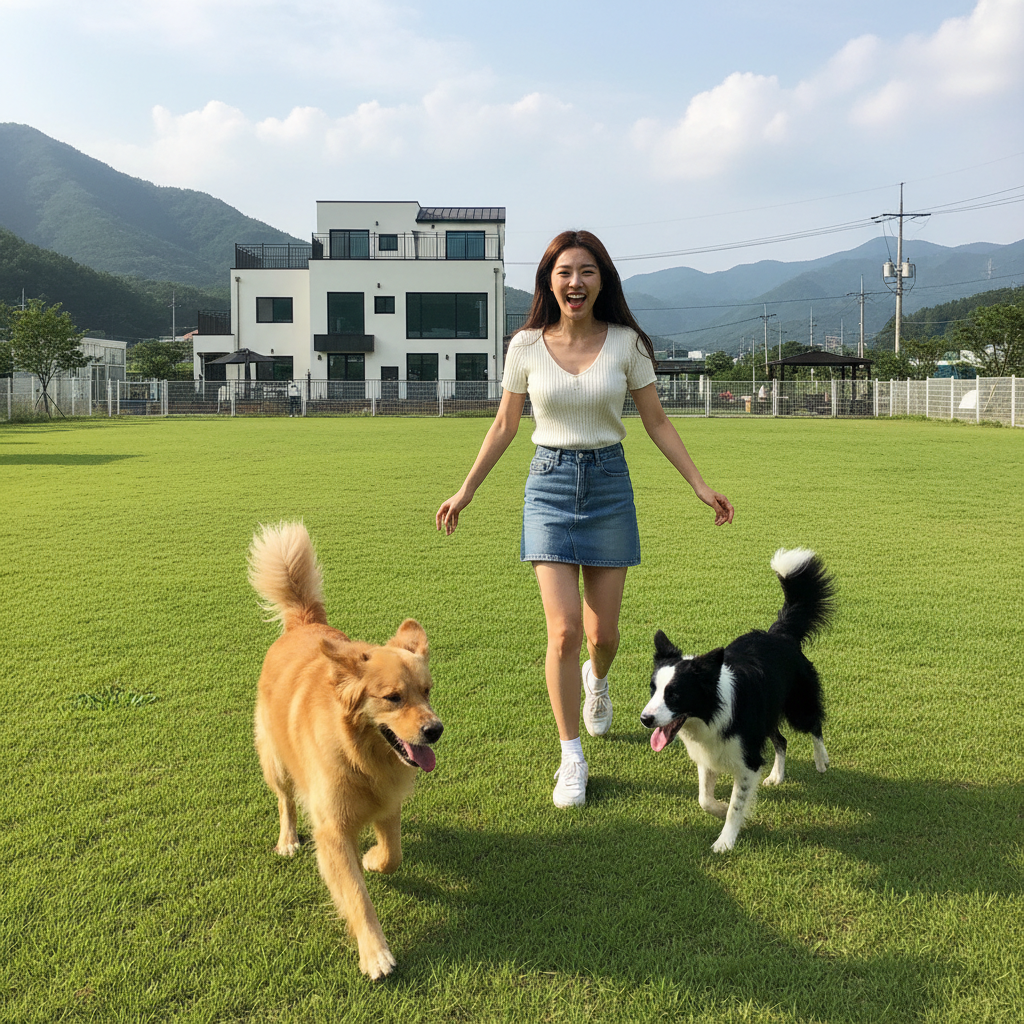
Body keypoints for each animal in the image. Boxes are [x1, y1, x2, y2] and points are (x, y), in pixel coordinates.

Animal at [248, 521, 442, 979]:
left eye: (426, 691)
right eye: (393, 698)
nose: (435, 730)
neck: (361, 756)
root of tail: (302, 623)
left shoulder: (388, 805)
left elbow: (393, 856)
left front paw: (372, 859)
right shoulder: (332, 829)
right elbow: (355, 893)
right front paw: (375, 953)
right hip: (274, 757)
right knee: (285, 799)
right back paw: (287, 839)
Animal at [640, 548, 835, 852]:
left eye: (674, 694)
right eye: (653, 689)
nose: (645, 719)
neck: (709, 713)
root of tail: (779, 633)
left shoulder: (748, 760)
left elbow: (737, 804)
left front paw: (725, 841)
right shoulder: (709, 754)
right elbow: (704, 799)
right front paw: (719, 808)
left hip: (797, 706)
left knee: (814, 724)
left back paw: (821, 759)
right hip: (766, 718)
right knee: (782, 740)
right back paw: (776, 776)